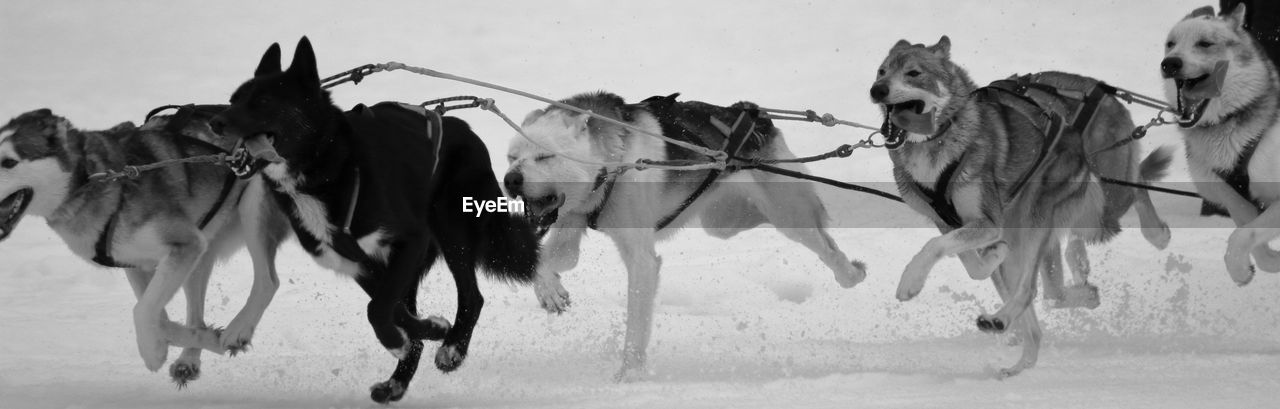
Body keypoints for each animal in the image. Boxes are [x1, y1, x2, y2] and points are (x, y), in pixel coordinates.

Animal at [0, 107, 290, 385]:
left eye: (8, 162)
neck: (95, 177)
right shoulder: (137, 264)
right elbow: (159, 318)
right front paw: (203, 338)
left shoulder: (185, 244)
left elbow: (142, 312)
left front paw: (153, 352)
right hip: (204, 247)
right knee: (196, 311)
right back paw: (191, 358)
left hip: (252, 206)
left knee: (267, 282)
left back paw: (237, 331)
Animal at [504, 90, 865, 380]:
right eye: (512, 157)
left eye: (544, 155)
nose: (510, 179)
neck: (611, 164)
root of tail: (752, 114)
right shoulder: (571, 226)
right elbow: (550, 261)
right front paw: (549, 290)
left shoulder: (642, 260)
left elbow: (636, 323)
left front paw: (630, 375)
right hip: (723, 222)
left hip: (788, 215)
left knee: (827, 245)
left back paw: (851, 273)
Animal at [1167, 3, 1280, 283]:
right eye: (1170, 44)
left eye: (1205, 43)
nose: (1169, 63)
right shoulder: (1237, 200)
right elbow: (1250, 235)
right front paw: (1264, 262)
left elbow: (1243, 235)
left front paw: (1238, 267)